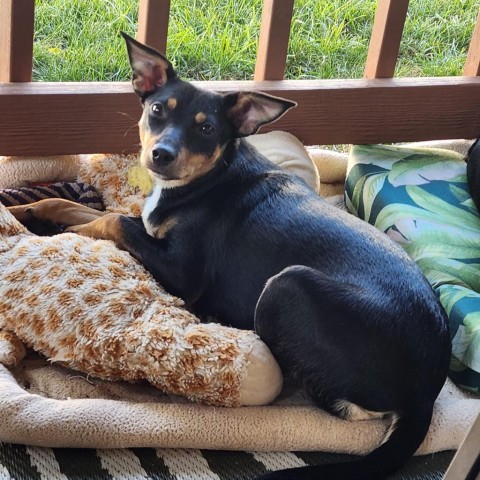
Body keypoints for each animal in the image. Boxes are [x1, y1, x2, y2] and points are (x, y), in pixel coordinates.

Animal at [9, 34, 452, 480]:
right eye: (157, 110)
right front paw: (23, 211)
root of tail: (426, 392)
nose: (162, 154)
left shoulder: (182, 271)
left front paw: (63, 233)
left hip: (287, 284)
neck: (206, 177)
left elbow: (111, 220)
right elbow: (73, 205)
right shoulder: (146, 226)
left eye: (206, 128)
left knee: (333, 401)